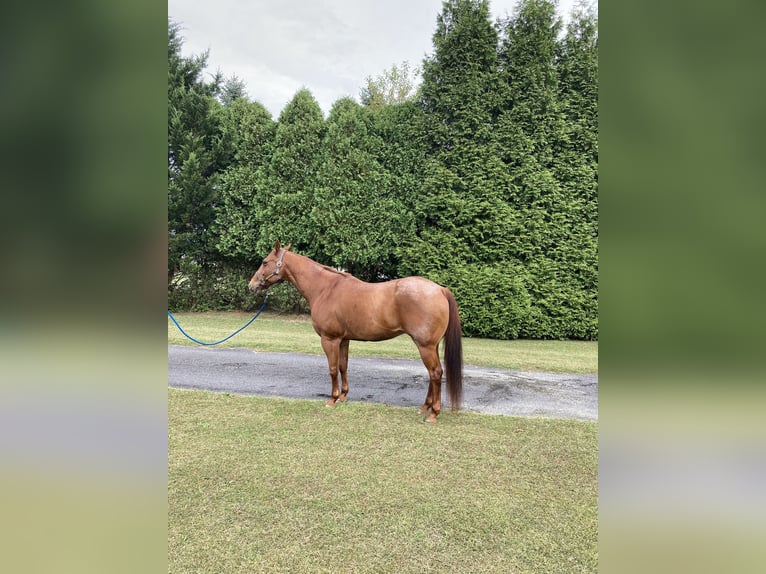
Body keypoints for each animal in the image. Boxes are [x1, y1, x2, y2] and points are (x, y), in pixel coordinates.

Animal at [248, 241, 463, 422]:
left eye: (264, 262)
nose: (251, 286)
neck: (325, 289)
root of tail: (440, 289)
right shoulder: (343, 339)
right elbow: (343, 366)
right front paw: (343, 396)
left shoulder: (329, 339)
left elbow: (332, 369)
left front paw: (332, 399)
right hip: (431, 345)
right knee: (433, 374)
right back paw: (425, 407)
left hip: (425, 345)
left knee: (435, 373)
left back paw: (433, 413)